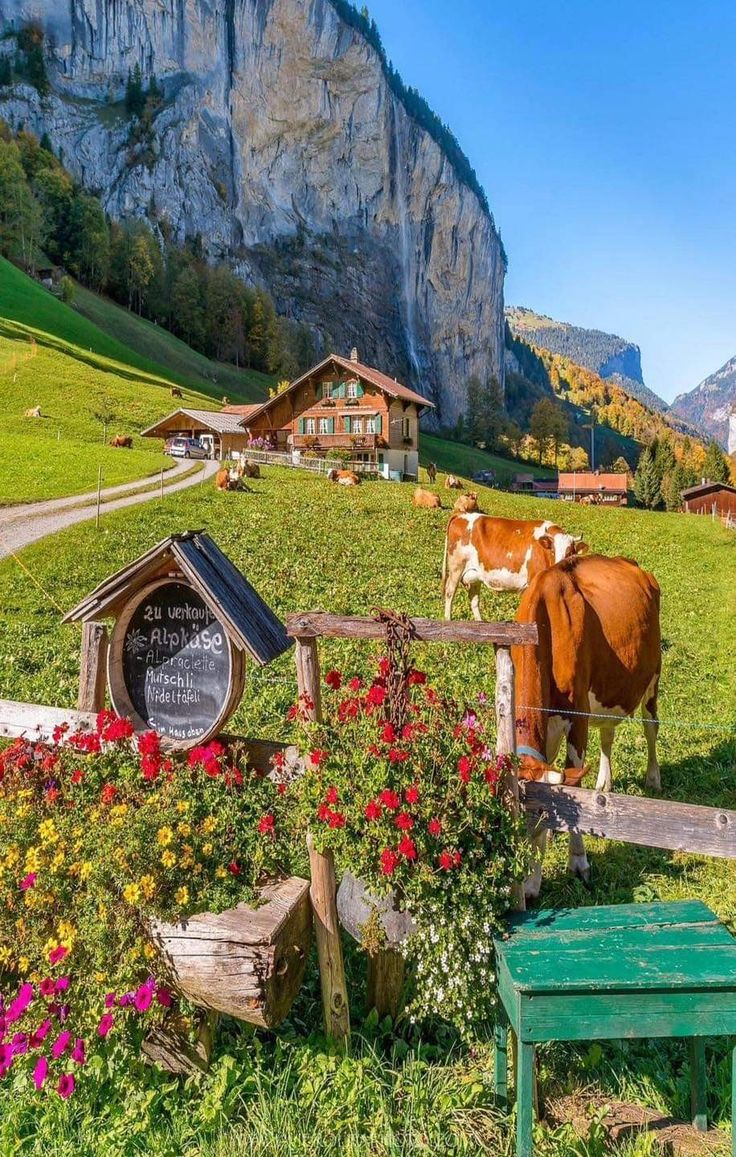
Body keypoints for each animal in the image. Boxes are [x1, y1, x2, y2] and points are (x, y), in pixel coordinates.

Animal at [439, 518, 590, 620]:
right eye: (552, 550)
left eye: (570, 552)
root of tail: (460, 515)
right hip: (456, 568)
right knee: (450, 592)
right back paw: (448, 619)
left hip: (475, 575)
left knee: (474, 599)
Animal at [511, 555, 661, 897]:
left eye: (541, 817)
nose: (524, 886)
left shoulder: (577, 715)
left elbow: (573, 782)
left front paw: (577, 861)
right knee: (607, 734)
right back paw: (604, 782)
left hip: (652, 677)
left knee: (651, 726)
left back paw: (653, 778)